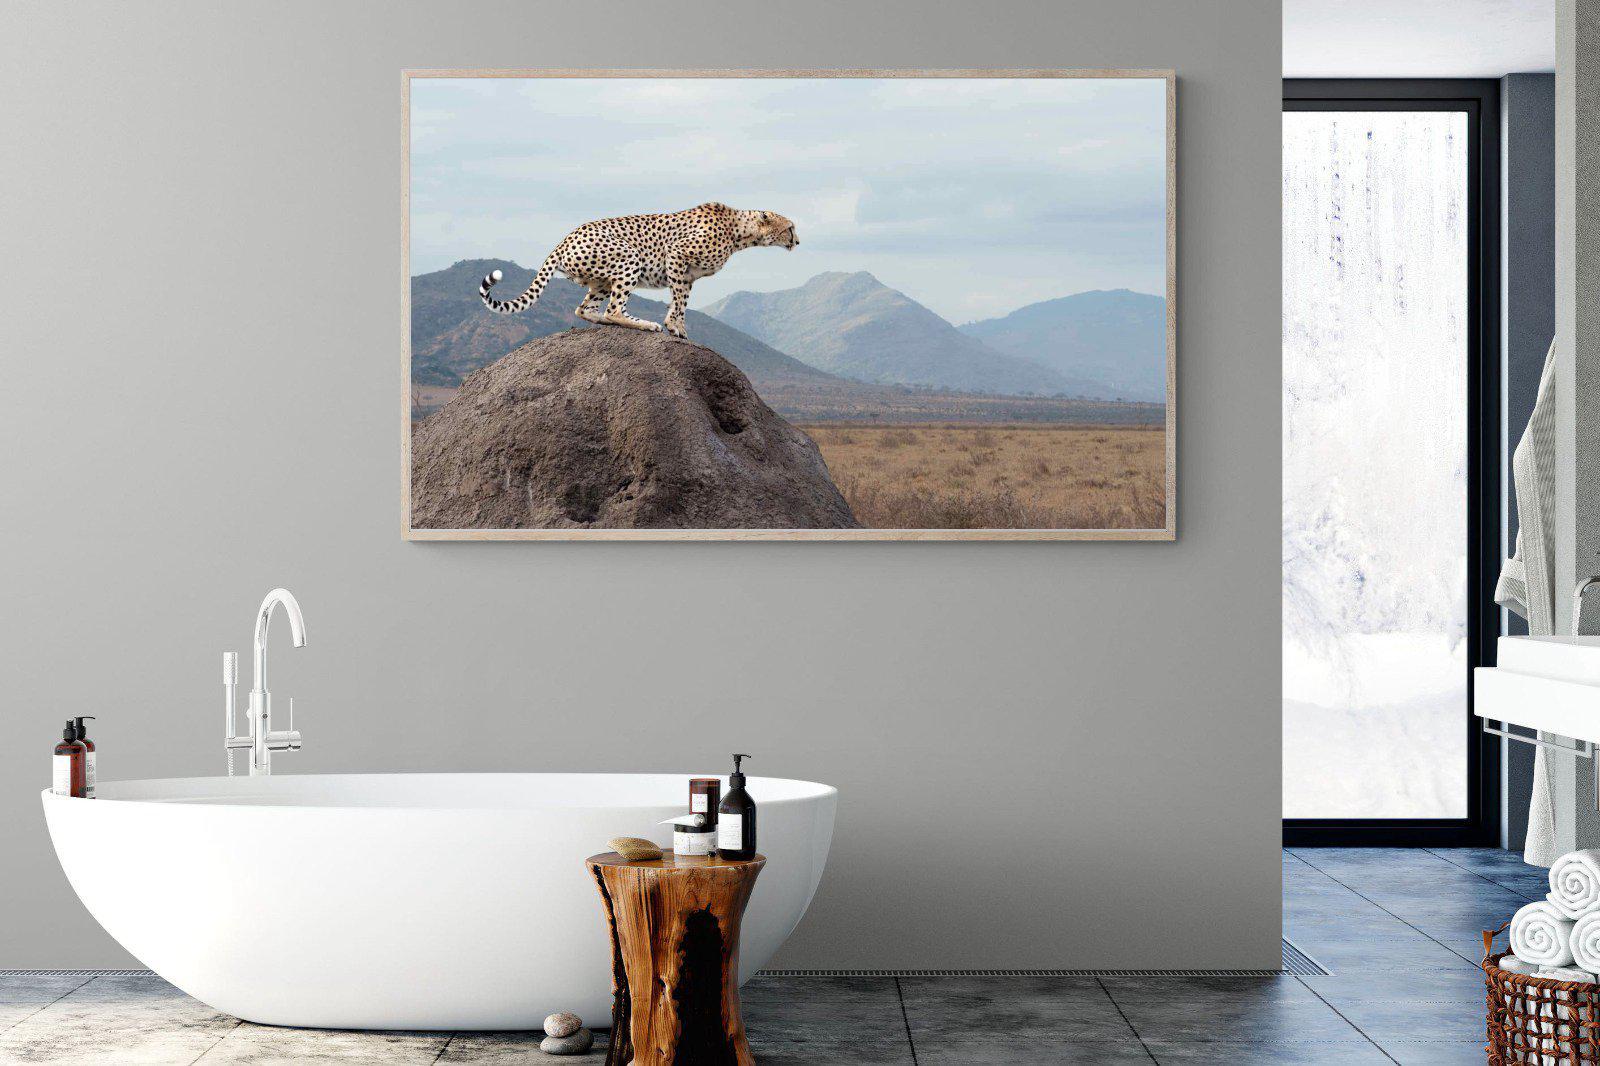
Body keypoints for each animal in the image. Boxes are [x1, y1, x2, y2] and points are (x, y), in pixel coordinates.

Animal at [477, 202, 798, 339]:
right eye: (790, 228)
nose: (797, 241)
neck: (739, 232)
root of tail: (566, 237)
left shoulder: (688, 275)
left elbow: (681, 301)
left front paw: (678, 326)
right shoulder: (676, 255)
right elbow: (678, 300)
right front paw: (672, 326)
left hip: (601, 280)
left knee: (586, 309)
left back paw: (609, 322)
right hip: (629, 257)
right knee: (614, 309)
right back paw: (644, 324)